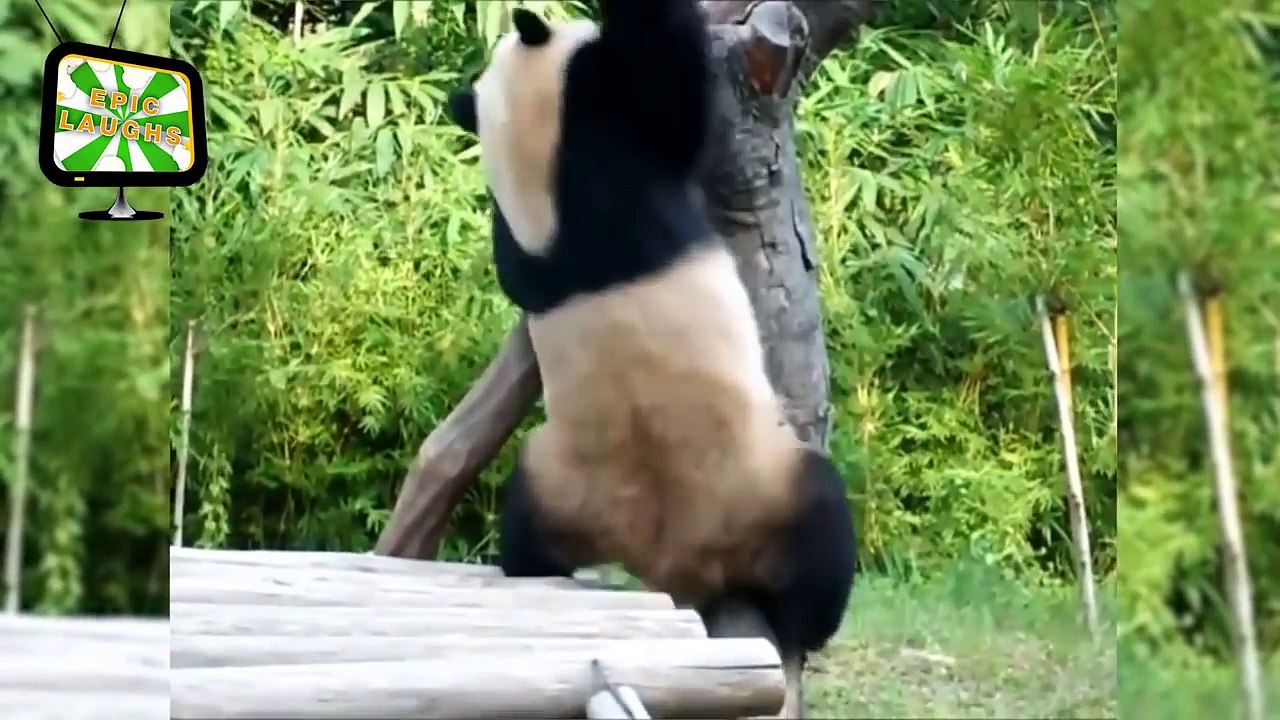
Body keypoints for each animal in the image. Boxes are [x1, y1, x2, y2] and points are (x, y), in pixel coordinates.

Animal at [445, 1, 857, 716]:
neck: (540, 181)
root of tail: (675, 565)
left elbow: (512, 273)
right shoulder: (621, 151)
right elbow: (675, 90)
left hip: (561, 483)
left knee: (525, 529)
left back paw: (533, 566)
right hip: (759, 484)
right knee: (822, 526)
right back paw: (804, 625)